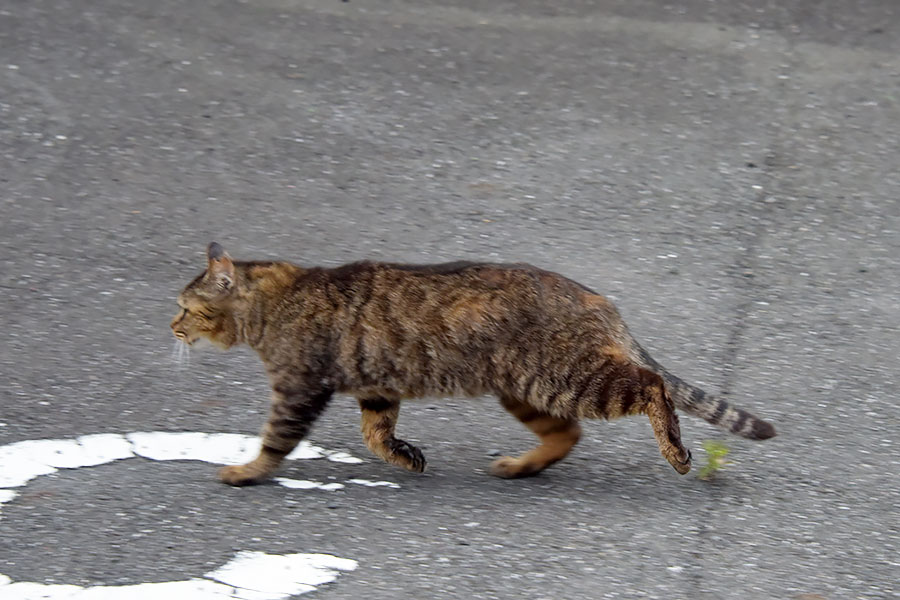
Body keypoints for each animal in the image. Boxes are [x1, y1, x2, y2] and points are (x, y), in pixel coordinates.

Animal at [172, 241, 776, 486]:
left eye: (184, 307)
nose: (170, 326)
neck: (274, 303)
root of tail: (598, 299)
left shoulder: (299, 387)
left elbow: (274, 440)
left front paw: (247, 472)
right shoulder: (376, 387)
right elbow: (375, 434)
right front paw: (404, 457)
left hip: (568, 379)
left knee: (651, 385)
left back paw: (676, 452)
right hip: (525, 389)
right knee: (568, 433)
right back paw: (521, 466)